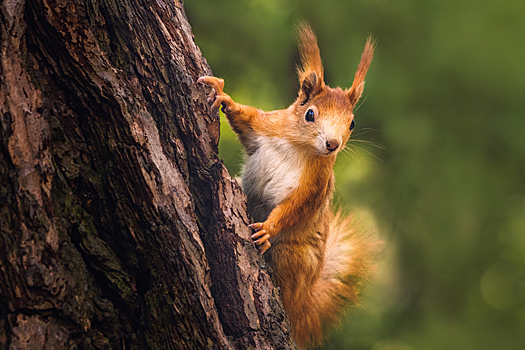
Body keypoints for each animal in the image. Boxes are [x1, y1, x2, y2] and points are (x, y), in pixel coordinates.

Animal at [199, 23, 378, 348]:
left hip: (294, 258)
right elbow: (245, 118)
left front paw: (268, 229)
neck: (300, 146)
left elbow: (295, 207)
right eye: (310, 114)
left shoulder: (316, 184)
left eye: (352, 124)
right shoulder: (265, 126)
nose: (332, 145)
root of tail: (305, 301)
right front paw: (223, 96)